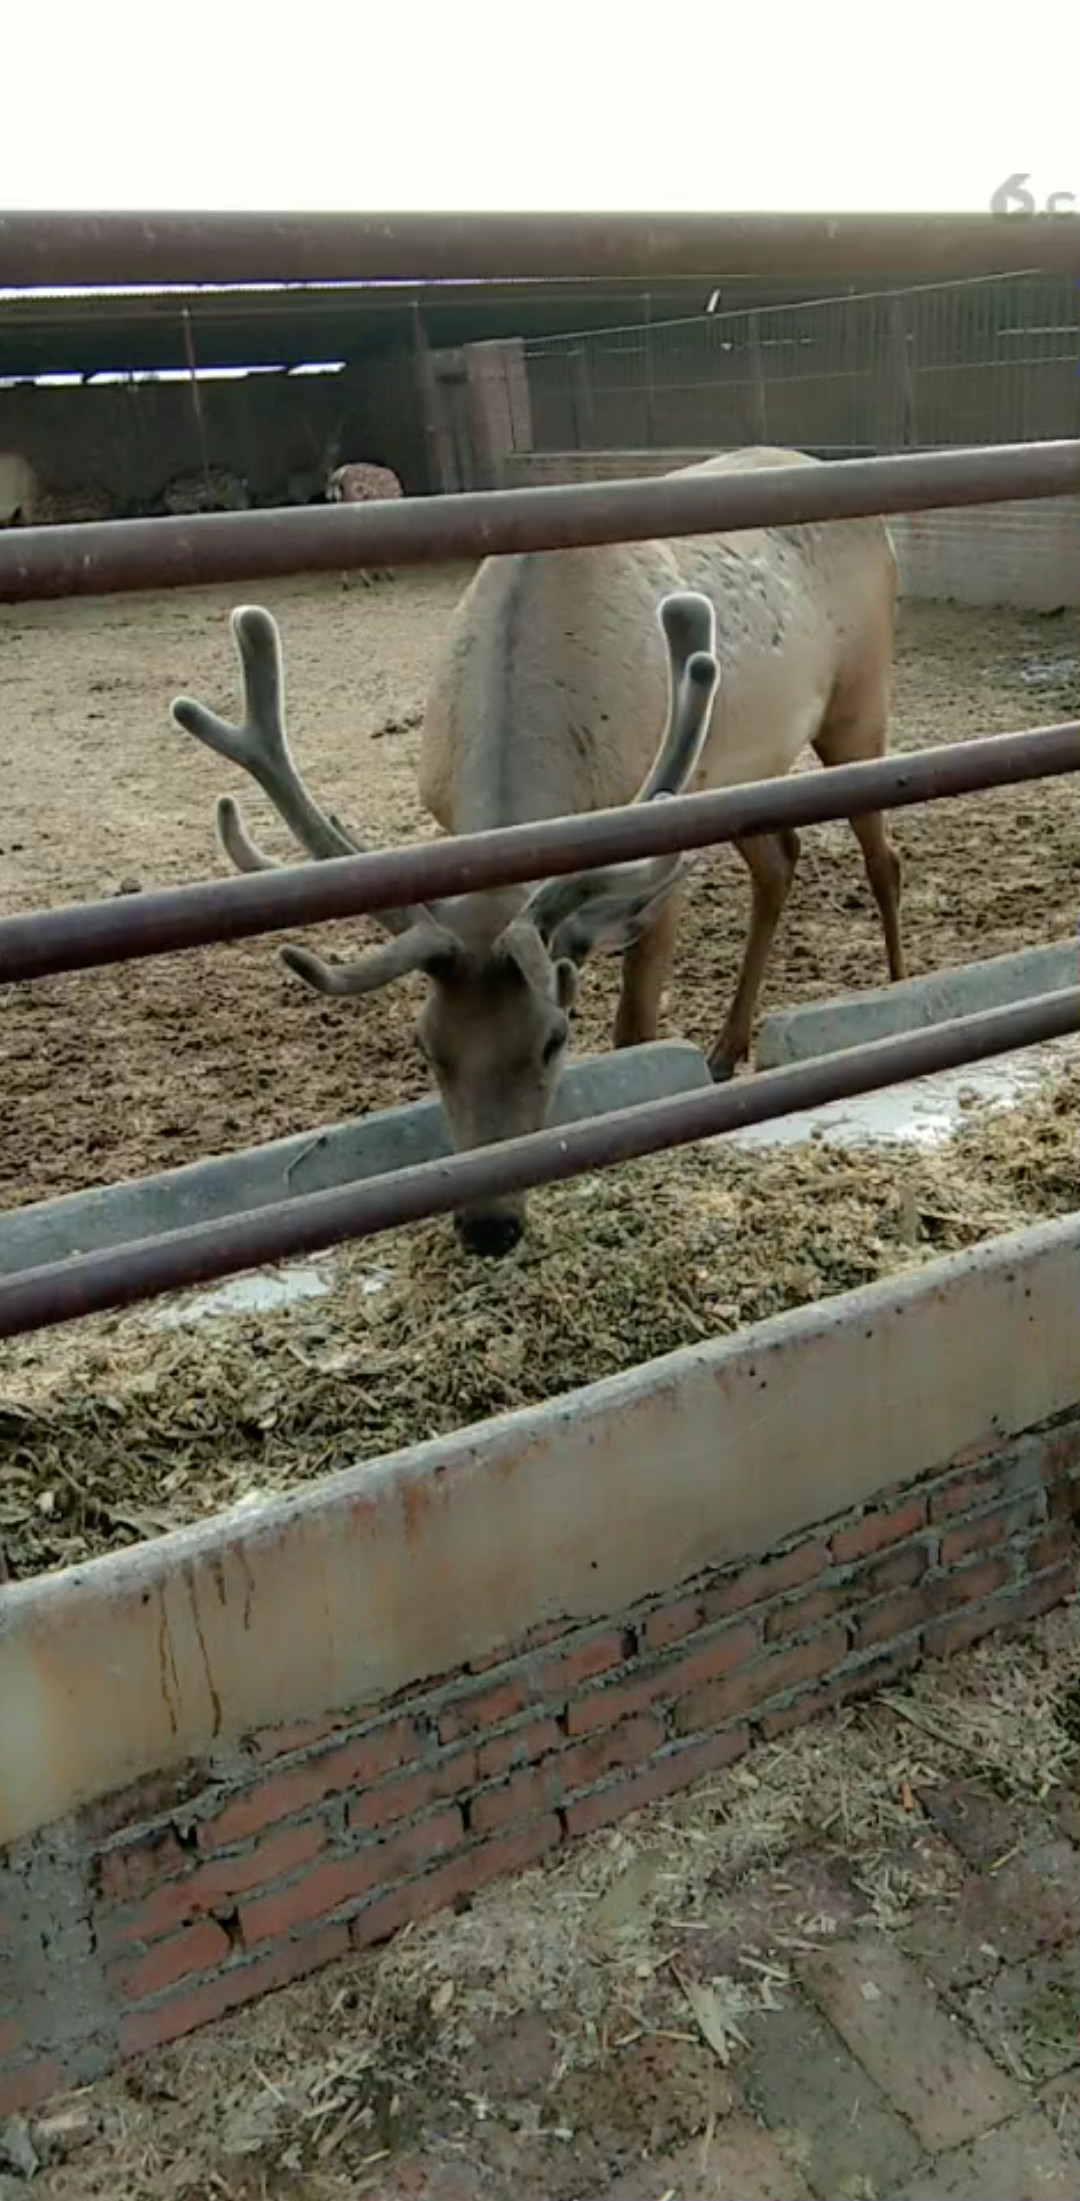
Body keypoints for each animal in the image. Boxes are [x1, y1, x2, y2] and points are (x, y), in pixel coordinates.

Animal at [175, 444, 906, 1258]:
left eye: (555, 1038)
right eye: (427, 1046)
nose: (489, 1225)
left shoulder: (654, 850)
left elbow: (634, 1026)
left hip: (858, 703)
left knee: (883, 857)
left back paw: (899, 993)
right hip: (743, 776)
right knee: (781, 858)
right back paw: (725, 1049)